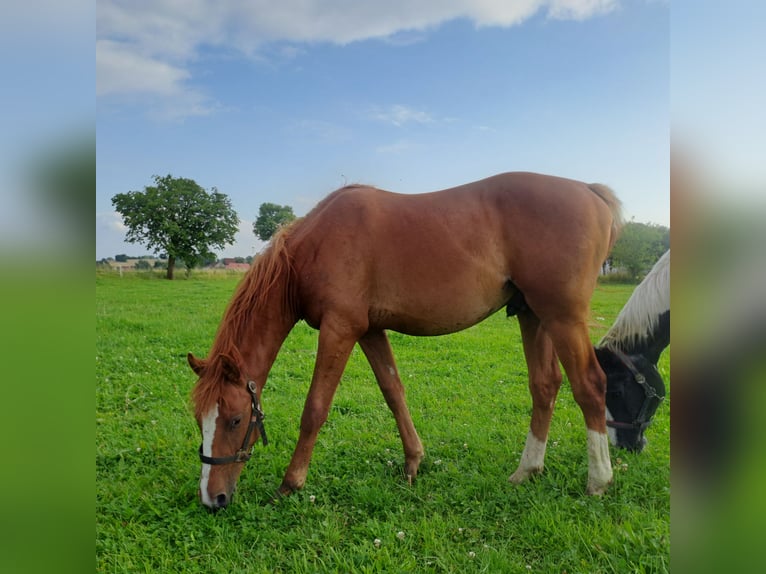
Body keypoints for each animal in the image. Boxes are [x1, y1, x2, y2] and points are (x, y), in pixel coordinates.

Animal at [188, 172, 624, 512]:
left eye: (236, 419)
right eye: (199, 420)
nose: (213, 499)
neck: (313, 249)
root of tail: (589, 191)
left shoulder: (339, 328)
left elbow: (315, 408)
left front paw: (291, 482)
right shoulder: (368, 330)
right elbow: (393, 391)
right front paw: (413, 462)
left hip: (562, 317)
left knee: (589, 386)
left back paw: (599, 481)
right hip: (533, 315)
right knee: (545, 386)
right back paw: (526, 471)